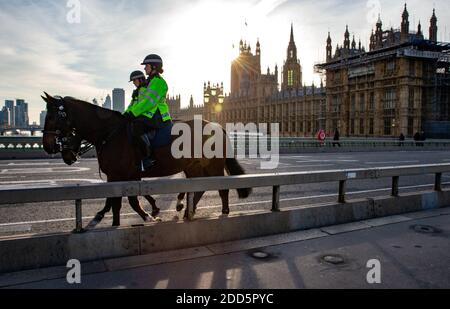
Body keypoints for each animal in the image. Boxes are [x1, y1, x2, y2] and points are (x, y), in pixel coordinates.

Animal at [40, 92, 251, 226]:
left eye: (52, 116)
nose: (47, 146)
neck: (110, 133)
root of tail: (217, 126)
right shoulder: (120, 176)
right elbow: (116, 201)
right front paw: (116, 219)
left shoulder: (124, 174)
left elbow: (129, 201)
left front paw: (148, 216)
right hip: (193, 166)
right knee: (198, 187)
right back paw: (186, 210)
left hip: (213, 165)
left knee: (222, 187)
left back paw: (223, 211)